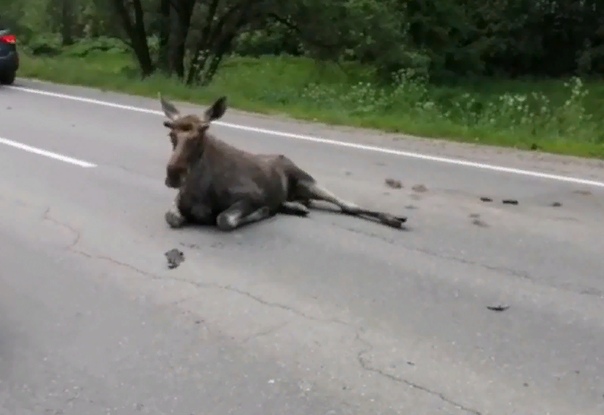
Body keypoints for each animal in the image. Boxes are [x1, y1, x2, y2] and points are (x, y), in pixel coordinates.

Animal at [158, 93, 408, 234]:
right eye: (171, 134)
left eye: (202, 133)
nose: (173, 175)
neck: (200, 189)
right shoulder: (178, 202)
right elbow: (171, 217)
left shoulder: (252, 196)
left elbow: (224, 219)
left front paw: (263, 212)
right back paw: (296, 207)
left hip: (306, 179)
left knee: (348, 205)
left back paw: (395, 218)